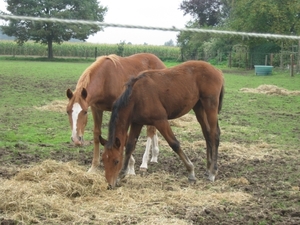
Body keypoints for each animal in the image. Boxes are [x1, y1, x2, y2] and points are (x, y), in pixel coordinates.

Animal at [101, 60, 225, 189]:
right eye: (103, 160)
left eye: (116, 161)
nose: (109, 185)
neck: (136, 95)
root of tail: (217, 71)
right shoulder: (137, 123)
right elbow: (130, 146)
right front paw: (122, 174)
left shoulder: (160, 120)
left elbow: (174, 144)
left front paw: (191, 172)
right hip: (199, 107)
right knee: (207, 133)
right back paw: (208, 168)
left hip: (210, 106)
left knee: (214, 134)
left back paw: (213, 172)